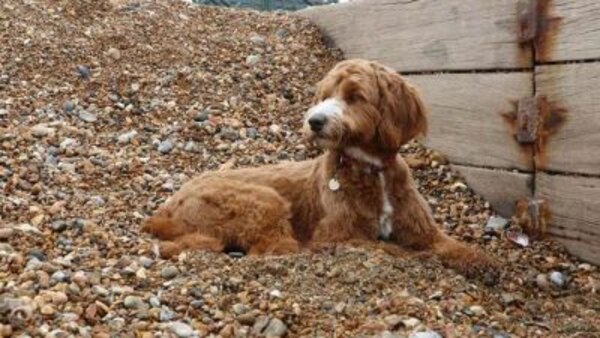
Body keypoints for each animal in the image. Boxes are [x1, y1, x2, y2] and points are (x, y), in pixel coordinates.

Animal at [143, 58, 500, 282]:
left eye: (355, 96)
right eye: (324, 95)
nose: (314, 121)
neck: (371, 170)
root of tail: (166, 208)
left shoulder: (424, 230)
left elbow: (450, 245)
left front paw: (482, 262)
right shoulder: (336, 236)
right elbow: (390, 248)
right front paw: (422, 259)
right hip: (263, 199)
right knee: (271, 248)